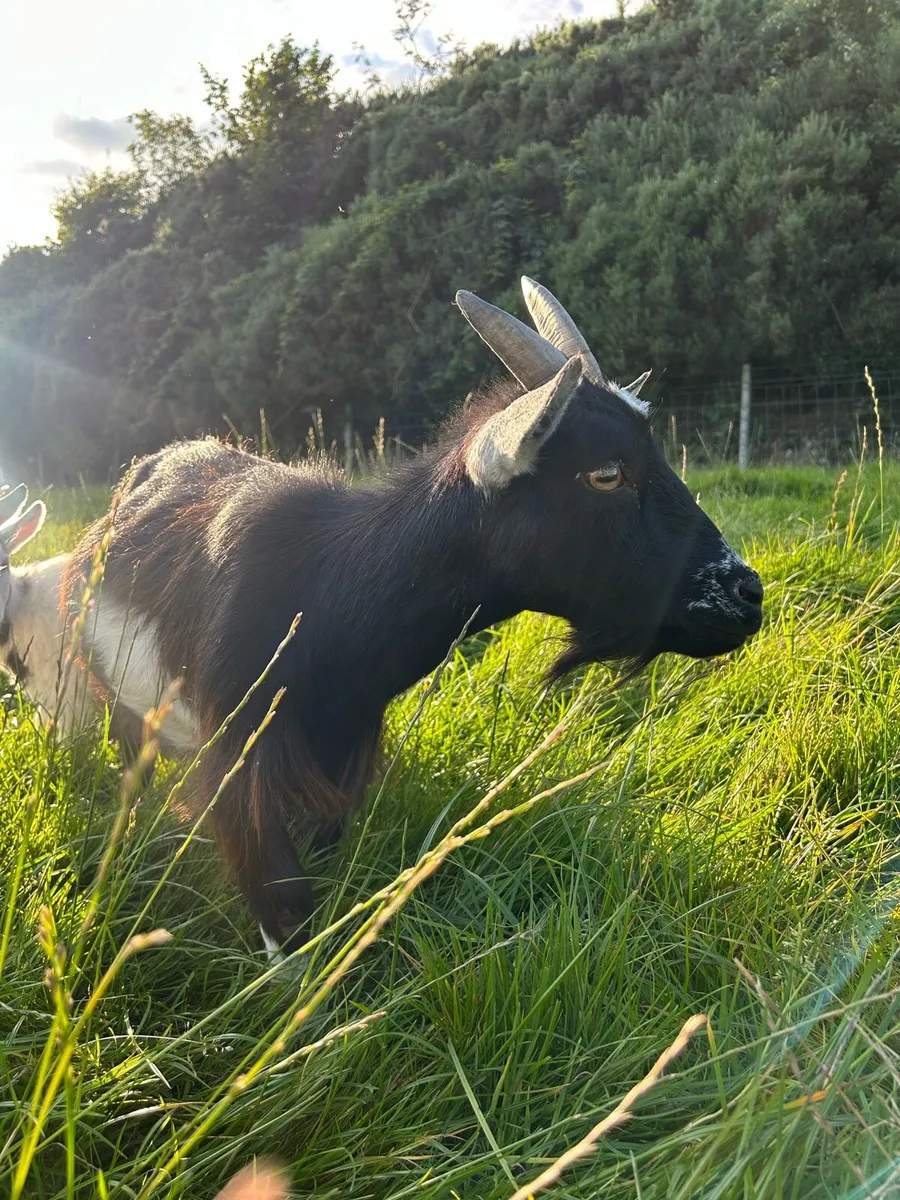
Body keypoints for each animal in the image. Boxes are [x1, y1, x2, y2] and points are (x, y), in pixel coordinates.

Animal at [61, 278, 764, 958]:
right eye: (607, 473)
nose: (746, 594)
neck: (326, 589)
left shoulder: (341, 749)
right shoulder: (240, 760)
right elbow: (284, 904)